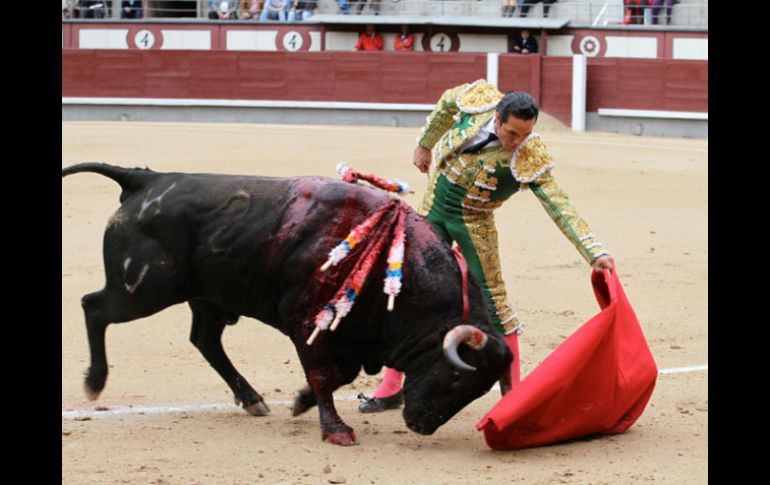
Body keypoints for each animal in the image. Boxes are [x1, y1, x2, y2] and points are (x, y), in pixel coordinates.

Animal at [63, 164, 512, 444]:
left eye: (479, 390)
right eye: (455, 378)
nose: (421, 426)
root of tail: (144, 180)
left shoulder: (350, 335)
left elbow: (339, 375)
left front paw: (299, 402)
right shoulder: (307, 323)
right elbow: (324, 374)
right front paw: (335, 430)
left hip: (207, 296)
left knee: (205, 340)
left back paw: (253, 400)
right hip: (141, 291)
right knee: (94, 307)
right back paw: (94, 381)